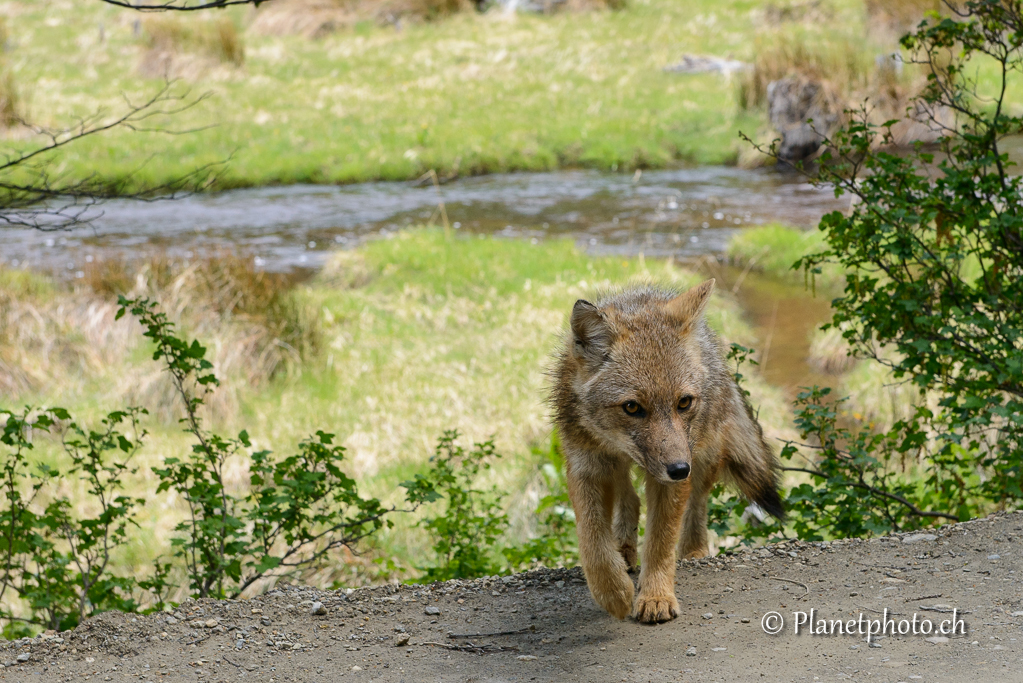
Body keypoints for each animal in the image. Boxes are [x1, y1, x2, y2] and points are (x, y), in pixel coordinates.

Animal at [552, 278, 781, 625]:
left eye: (683, 402)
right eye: (632, 407)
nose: (679, 470)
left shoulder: (673, 474)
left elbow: (660, 541)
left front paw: (656, 597)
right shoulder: (586, 465)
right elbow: (592, 540)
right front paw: (614, 592)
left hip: (704, 455)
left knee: (697, 504)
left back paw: (694, 551)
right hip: (626, 467)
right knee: (629, 498)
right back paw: (624, 550)